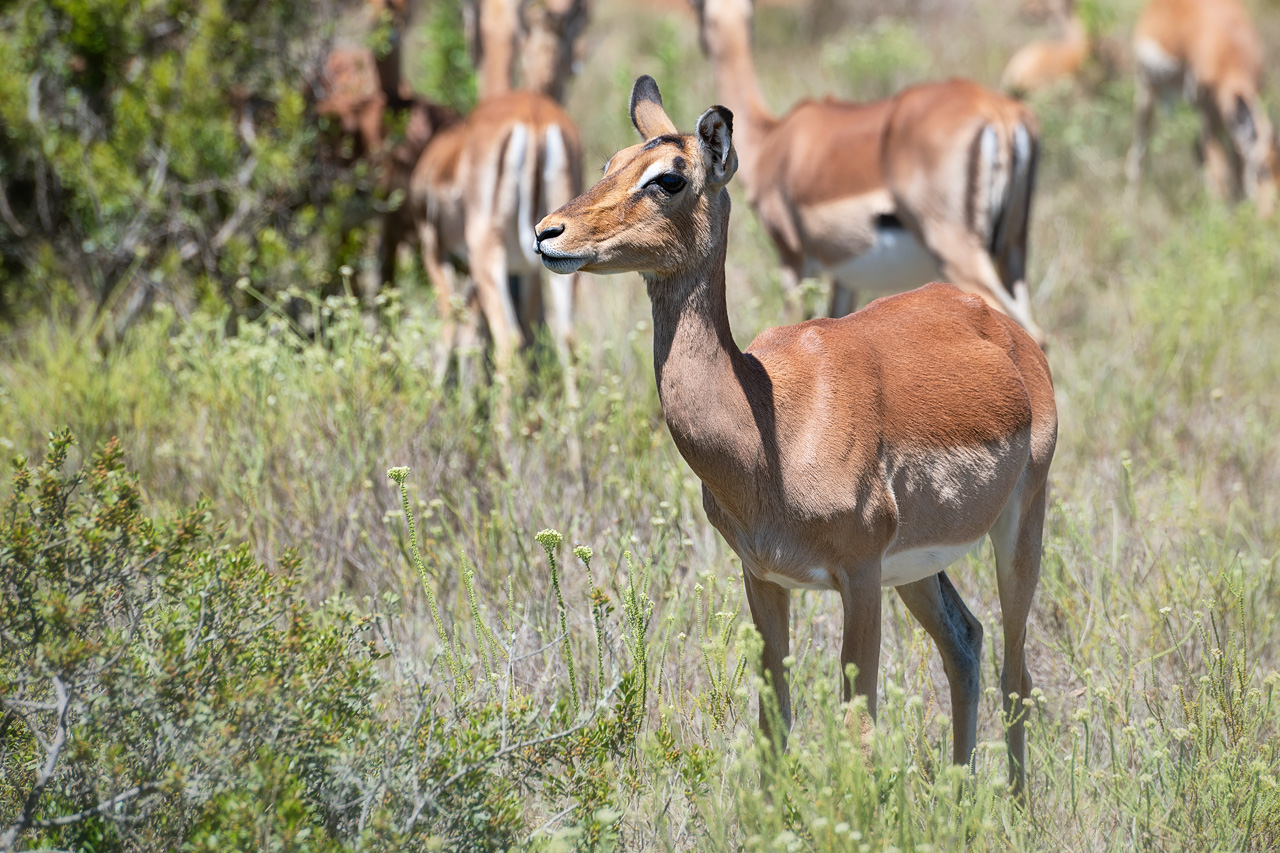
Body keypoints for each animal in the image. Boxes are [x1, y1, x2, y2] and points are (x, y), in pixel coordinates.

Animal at [409, 0, 585, 398]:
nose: (575, 64)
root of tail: (535, 121)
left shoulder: (434, 250)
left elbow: (453, 328)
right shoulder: (529, 271)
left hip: (486, 254)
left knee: (506, 342)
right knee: (566, 343)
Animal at [535, 76, 1057, 799]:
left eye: (669, 177)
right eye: (611, 161)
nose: (548, 233)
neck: (769, 423)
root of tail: (1008, 334)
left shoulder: (858, 576)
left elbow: (858, 729)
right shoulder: (763, 577)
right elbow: (775, 724)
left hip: (1017, 528)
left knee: (1017, 672)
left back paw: (1011, 807)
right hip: (918, 566)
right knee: (966, 642)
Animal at [691, 0, 1045, 347]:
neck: (771, 139)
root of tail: (997, 111)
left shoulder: (794, 260)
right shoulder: (845, 276)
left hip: (956, 250)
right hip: (1012, 253)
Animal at [1126, 0, 1278, 217]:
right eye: (1262, 169)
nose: (1269, 216)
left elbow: (1234, 167)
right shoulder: (1209, 114)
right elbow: (1219, 172)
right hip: (1146, 91)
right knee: (1139, 148)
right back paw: (1131, 204)